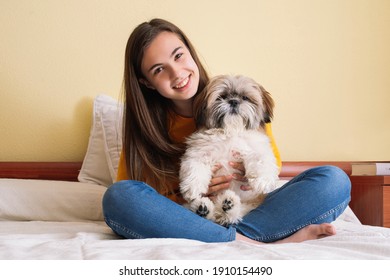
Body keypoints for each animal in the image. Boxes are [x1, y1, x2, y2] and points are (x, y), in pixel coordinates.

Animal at [178, 74, 278, 225]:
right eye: (222, 96)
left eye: (245, 98)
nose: (234, 101)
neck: (231, 131)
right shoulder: (199, 151)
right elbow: (194, 166)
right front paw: (193, 187)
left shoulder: (256, 146)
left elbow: (261, 159)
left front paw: (263, 180)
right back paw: (203, 208)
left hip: (249, 205)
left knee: (232, 215)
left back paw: (228, 205)